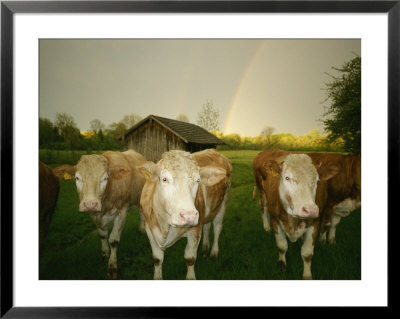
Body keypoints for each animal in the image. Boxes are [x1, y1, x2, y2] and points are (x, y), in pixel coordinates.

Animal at [138, 150, 233, 280]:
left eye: (198, 180)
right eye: (164, 179)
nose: (189, 216)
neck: (165, 224)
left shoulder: (195, 230)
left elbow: (190, 259)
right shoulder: (149, 229)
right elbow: (157, 259)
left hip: (223, 202)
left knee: (217, 227)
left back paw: (214, 252)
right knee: (207, 226)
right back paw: (205, 248)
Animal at [253, 150, 338, 280]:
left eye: (317, 180)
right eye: (287, 177)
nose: (310, 210)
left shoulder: (315, 222)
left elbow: (307, 253)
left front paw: (307, 275)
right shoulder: (275, 220)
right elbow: (282, 246)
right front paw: (282, 266)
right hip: (261, 190)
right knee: (263, 205)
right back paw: (266, 226)